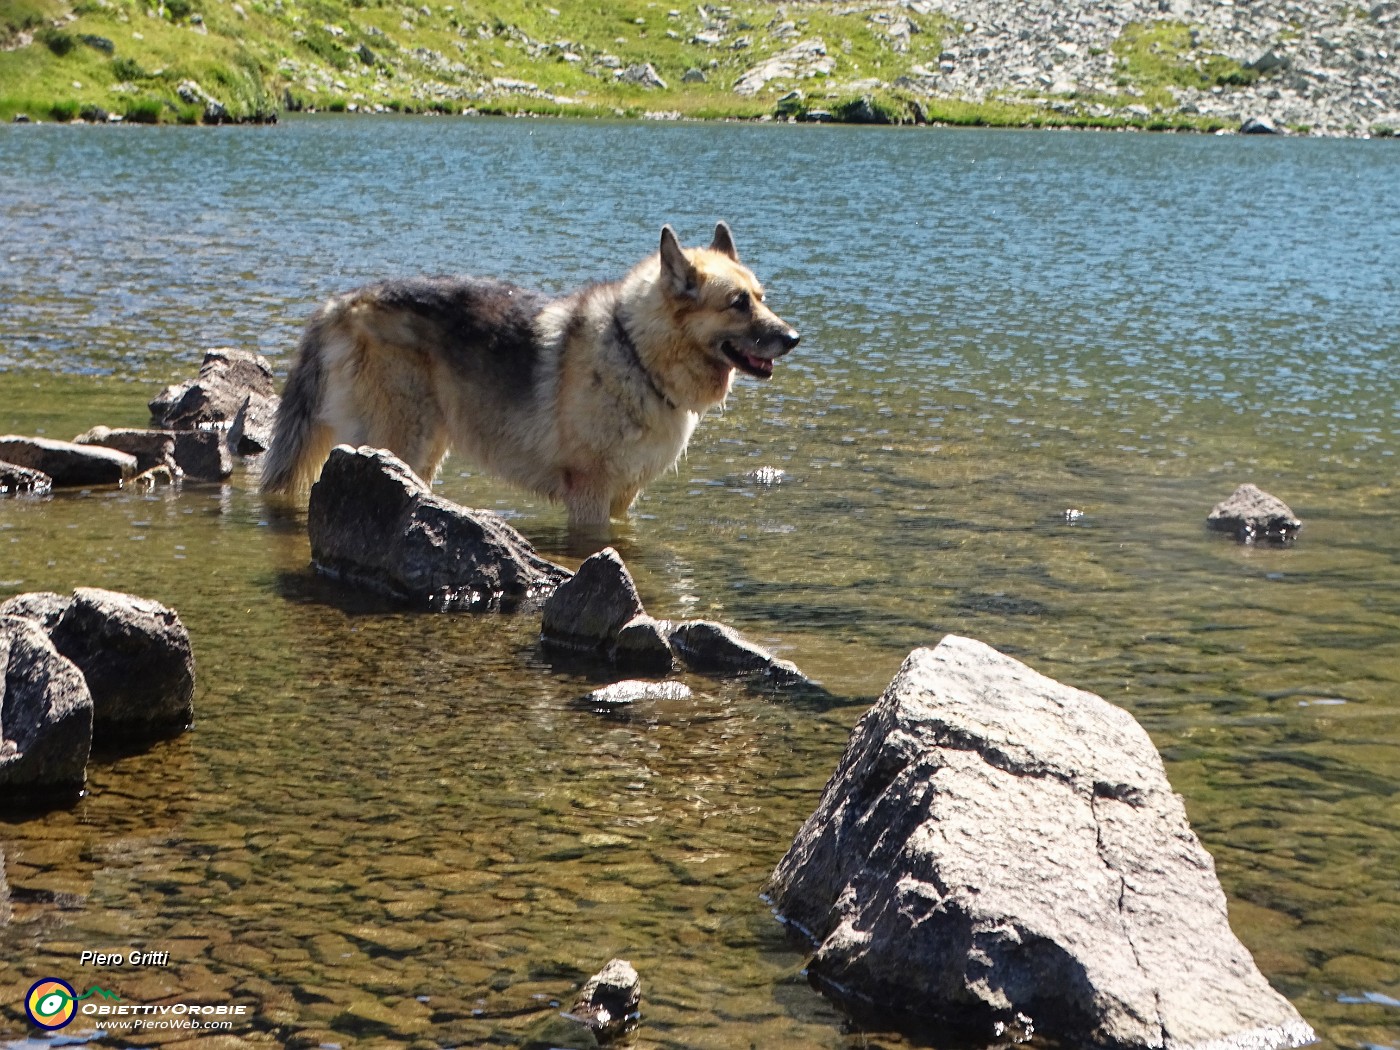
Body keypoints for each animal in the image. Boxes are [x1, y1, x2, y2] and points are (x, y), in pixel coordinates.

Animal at [260, 225, 800, 529]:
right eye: (737, 303)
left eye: (761, 296)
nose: (794, 338)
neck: (636, 353)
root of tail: (340, 304)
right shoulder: (589, 497)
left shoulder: (623, 498)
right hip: (399, 443)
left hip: (424, 451)